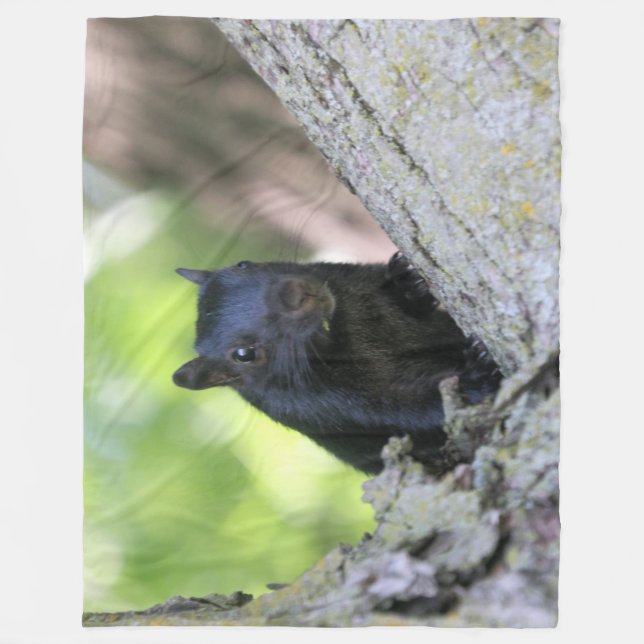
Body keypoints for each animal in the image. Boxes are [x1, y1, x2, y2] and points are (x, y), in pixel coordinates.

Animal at [173, 252, 501, 475]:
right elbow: (411, 410)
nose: (292, 293)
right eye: (243, 354)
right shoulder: (324, 405)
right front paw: (476, 378)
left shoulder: (343, 276)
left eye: (243, 264)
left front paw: (405, 283)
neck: (335, 333)